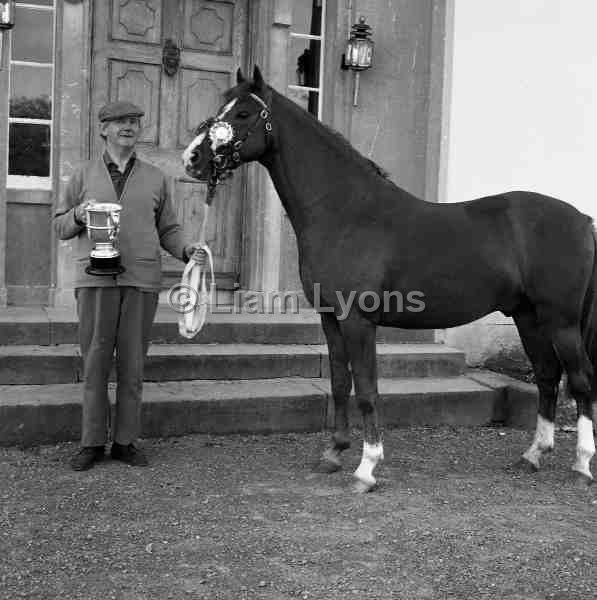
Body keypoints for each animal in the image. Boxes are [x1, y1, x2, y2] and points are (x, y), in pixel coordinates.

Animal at [183, 64, 596, 492]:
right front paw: (334, 454)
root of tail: (582, 218)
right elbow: (340, 384)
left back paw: (582, 464)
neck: (345, 211)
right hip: (528, 317)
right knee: (547, 376)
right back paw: (532, 455)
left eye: (243, 113)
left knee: (581, 380)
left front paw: (367, 468)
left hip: (561, 321)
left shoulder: (358, 321)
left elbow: (367, 390)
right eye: (223, 106)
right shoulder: (331, 319)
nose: (192, 158)